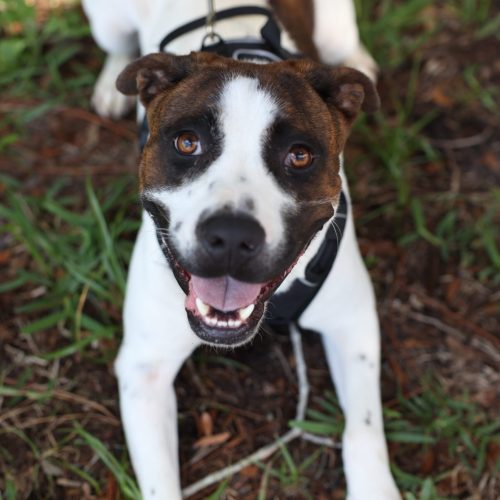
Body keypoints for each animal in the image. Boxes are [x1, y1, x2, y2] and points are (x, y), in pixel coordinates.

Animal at [84, 0, 400, 498]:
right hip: (106, 22)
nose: (231, 235)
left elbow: (363, 430)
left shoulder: (353, 325)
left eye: (300, 155)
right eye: (187, 142)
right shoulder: (144, 369)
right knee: (117, 48)